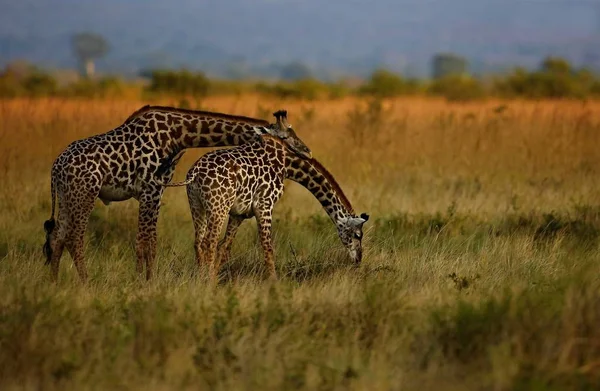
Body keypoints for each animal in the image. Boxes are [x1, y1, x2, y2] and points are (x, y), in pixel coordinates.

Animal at [42, 108, 312, 282]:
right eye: (287, 132)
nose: (307, 150)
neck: (177, 133)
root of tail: (56, 166)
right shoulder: (150, 189)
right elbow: (145, 242)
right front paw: (144, 283)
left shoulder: (156, 191)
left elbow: (149, 240)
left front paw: (146, 280)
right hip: (85, 194)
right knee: (75, 238)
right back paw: (86, 283)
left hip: (67, 196)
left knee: (57, 236)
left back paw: (54, 283)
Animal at [157, 135, 368, 282]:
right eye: (357, 235)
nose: (359, 260)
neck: (287, 164)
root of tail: (194, 174)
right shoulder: (265, 204)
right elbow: (268, 245)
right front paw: (274, 282)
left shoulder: (238, 214)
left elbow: (225, 247)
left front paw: (216, 278)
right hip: (218, 207)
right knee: (209, 242)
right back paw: (206, 281)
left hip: (197, 205)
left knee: (199, 242)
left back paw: (201, 278)